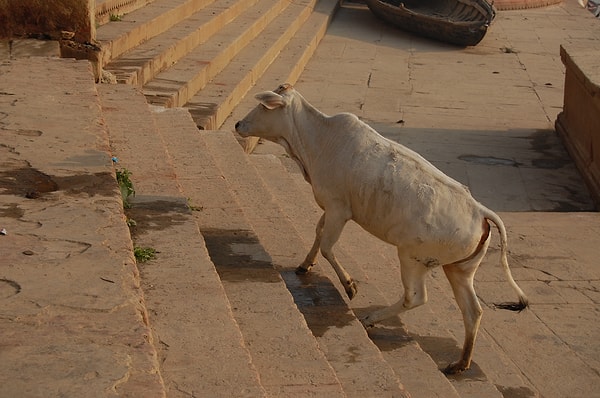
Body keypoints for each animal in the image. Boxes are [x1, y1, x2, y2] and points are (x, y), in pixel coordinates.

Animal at [234, 82, 524, 374]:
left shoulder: (339, 209)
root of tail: (480, 211)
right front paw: (305, 265)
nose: (237, 124)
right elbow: (318, 234)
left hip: (412, 258)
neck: (318, 139)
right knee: (472, 311)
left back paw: (371, 317)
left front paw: (350, 285)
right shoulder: (331, 208)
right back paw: (459, 363)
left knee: (415, 297)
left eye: (263, 106)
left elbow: (327, 245)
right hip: (459, 269)